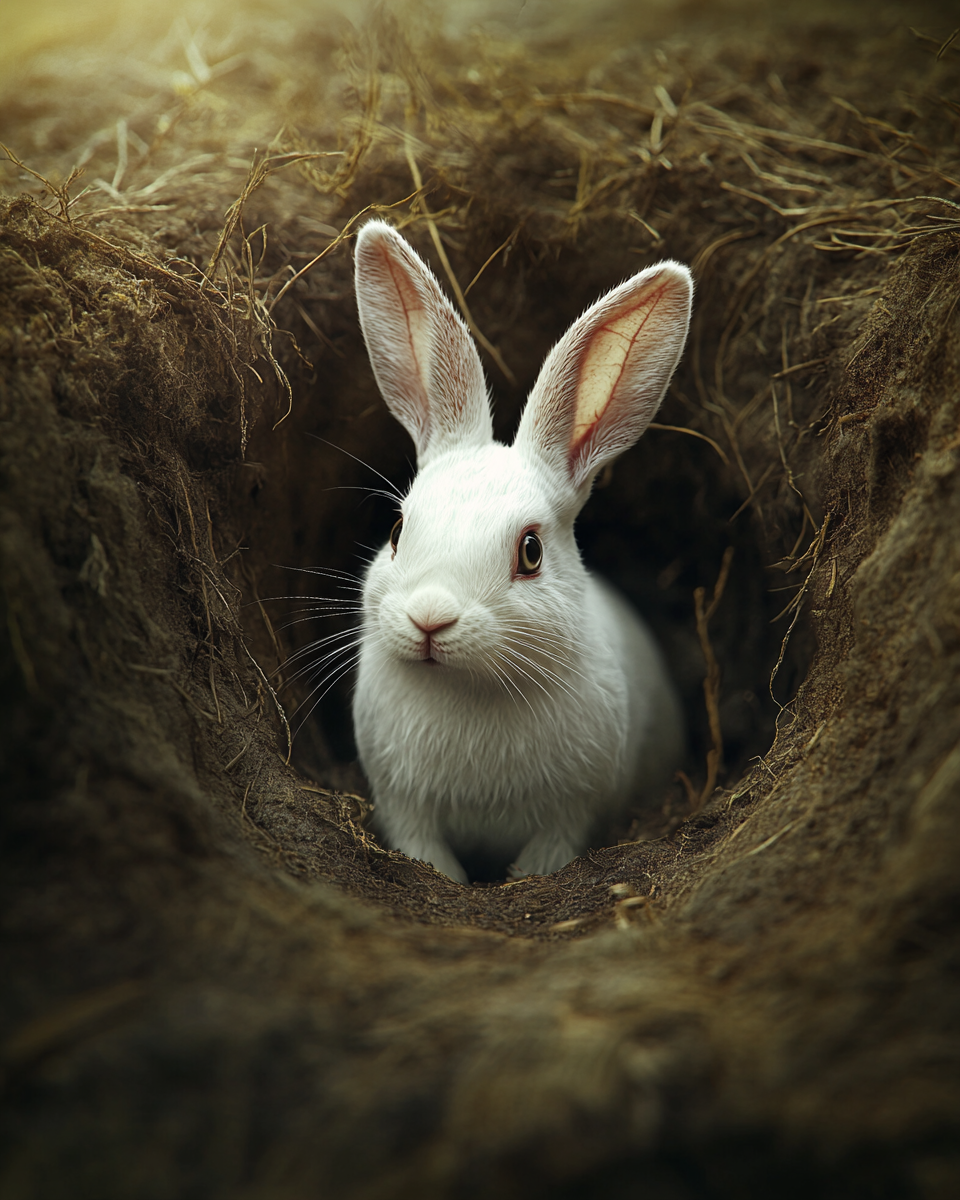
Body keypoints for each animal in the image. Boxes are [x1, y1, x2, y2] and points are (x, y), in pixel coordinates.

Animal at [351, 219, 691, 884]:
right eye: (398, 530)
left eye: (530, 552)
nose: (429, 618)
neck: (465, 687)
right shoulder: (404, 807)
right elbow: (426, 850)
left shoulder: (572, 813)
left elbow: (545, 858)